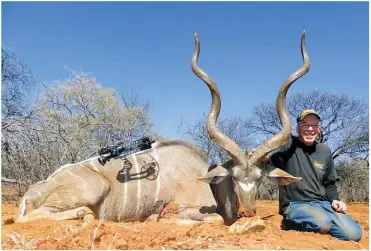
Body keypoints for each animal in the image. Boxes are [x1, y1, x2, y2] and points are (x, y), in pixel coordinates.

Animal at [15, 31, 310, 227]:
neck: (203, 177)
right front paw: (156, 218)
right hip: (89, 191)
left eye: (259, 178)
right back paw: (83, 215)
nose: (249, 213)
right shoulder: (191, 208)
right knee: (29, 217)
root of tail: (34, 191)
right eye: (234, 177)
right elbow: (211, 219)